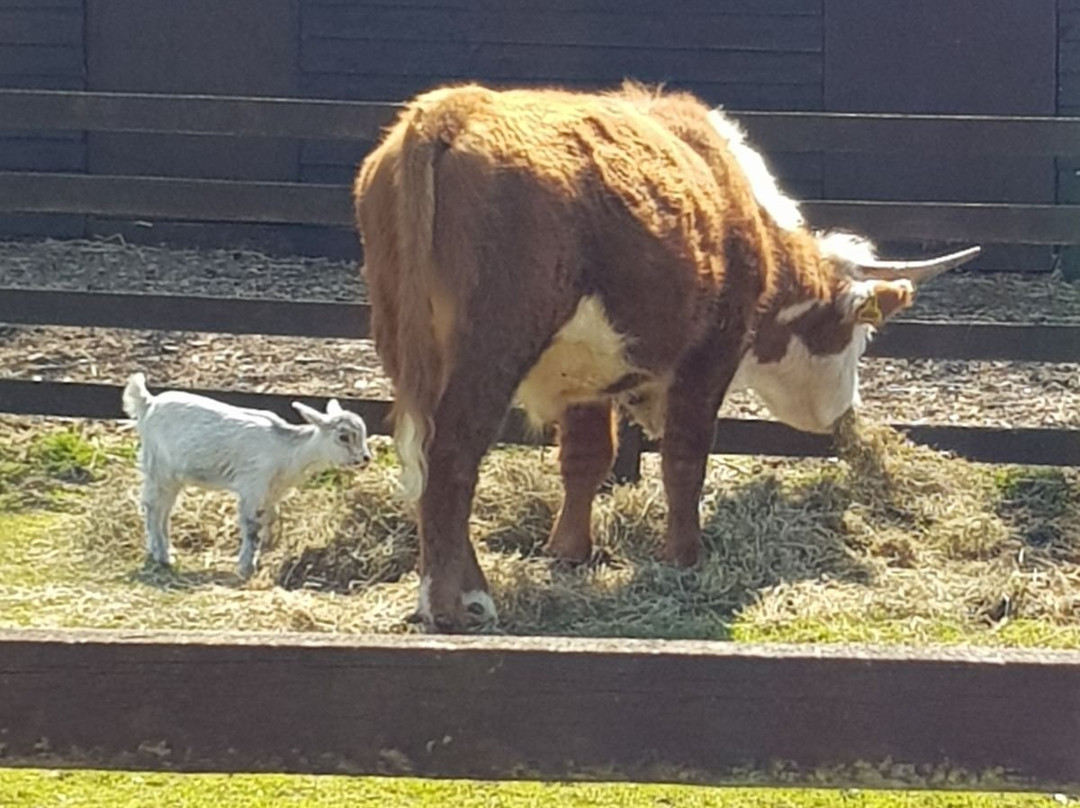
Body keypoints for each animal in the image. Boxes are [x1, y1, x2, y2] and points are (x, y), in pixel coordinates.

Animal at [354, 85, 980, 635]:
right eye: (855, 337)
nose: (843, 411)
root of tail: (455, 107)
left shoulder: (585, 378)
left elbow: (587, 459)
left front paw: (569, 551)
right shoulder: (709, 358)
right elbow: (685, 457)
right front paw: (683, 555)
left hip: (408, 347)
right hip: (488, 356)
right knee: (452, 460)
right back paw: (454, 602)